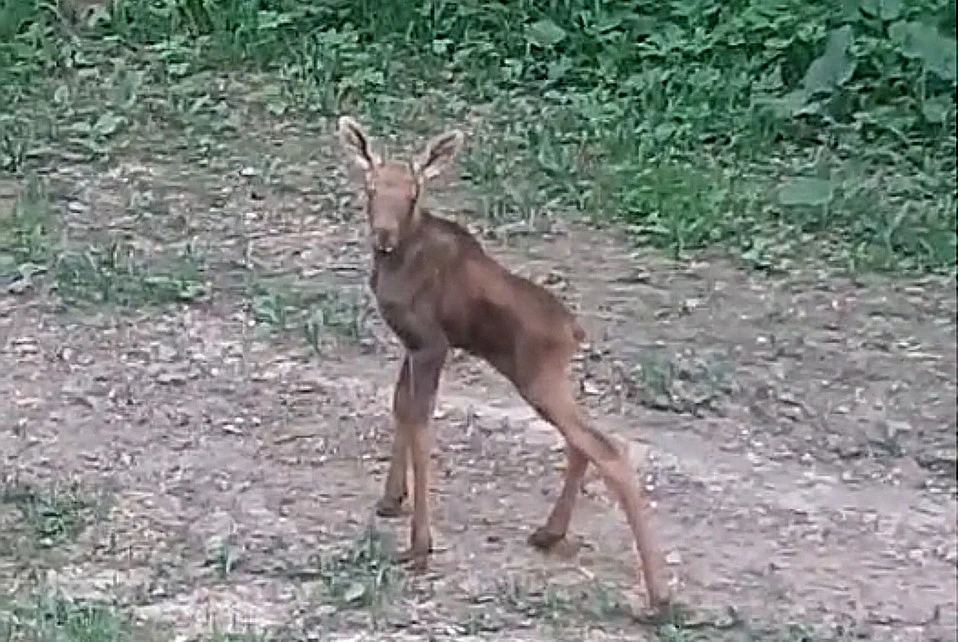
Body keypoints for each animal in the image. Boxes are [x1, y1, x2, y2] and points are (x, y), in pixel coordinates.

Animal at [340, 117, 676, 608]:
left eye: (414, 194)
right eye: (369, 188)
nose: (382, 235)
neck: (395, 262)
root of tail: (575, 332)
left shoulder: (432, 344)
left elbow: (422, 428)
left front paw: (420, 545)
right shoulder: (411, 344)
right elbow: (400, 406)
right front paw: (390, 500)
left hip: (536, 377)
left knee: (607, 449)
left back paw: (658, 593)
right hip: (544, 380)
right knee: (585, 442)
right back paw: (550, 533)